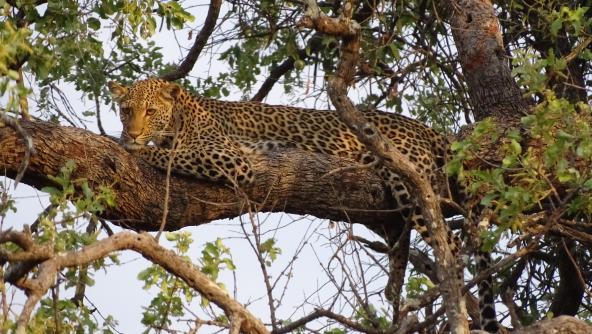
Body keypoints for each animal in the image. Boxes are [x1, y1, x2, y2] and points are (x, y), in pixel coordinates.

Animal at [110, 79, 500, 334]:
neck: (180, 117)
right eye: (126, 110)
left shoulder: (233, 159)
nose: (131, 133)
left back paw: (452, 296)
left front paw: (134, 149)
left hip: (407, 177)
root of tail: (427, 128)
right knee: (404, 235)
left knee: (450, 241)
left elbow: (169, 155)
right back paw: (395, 286)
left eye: (151, 111)